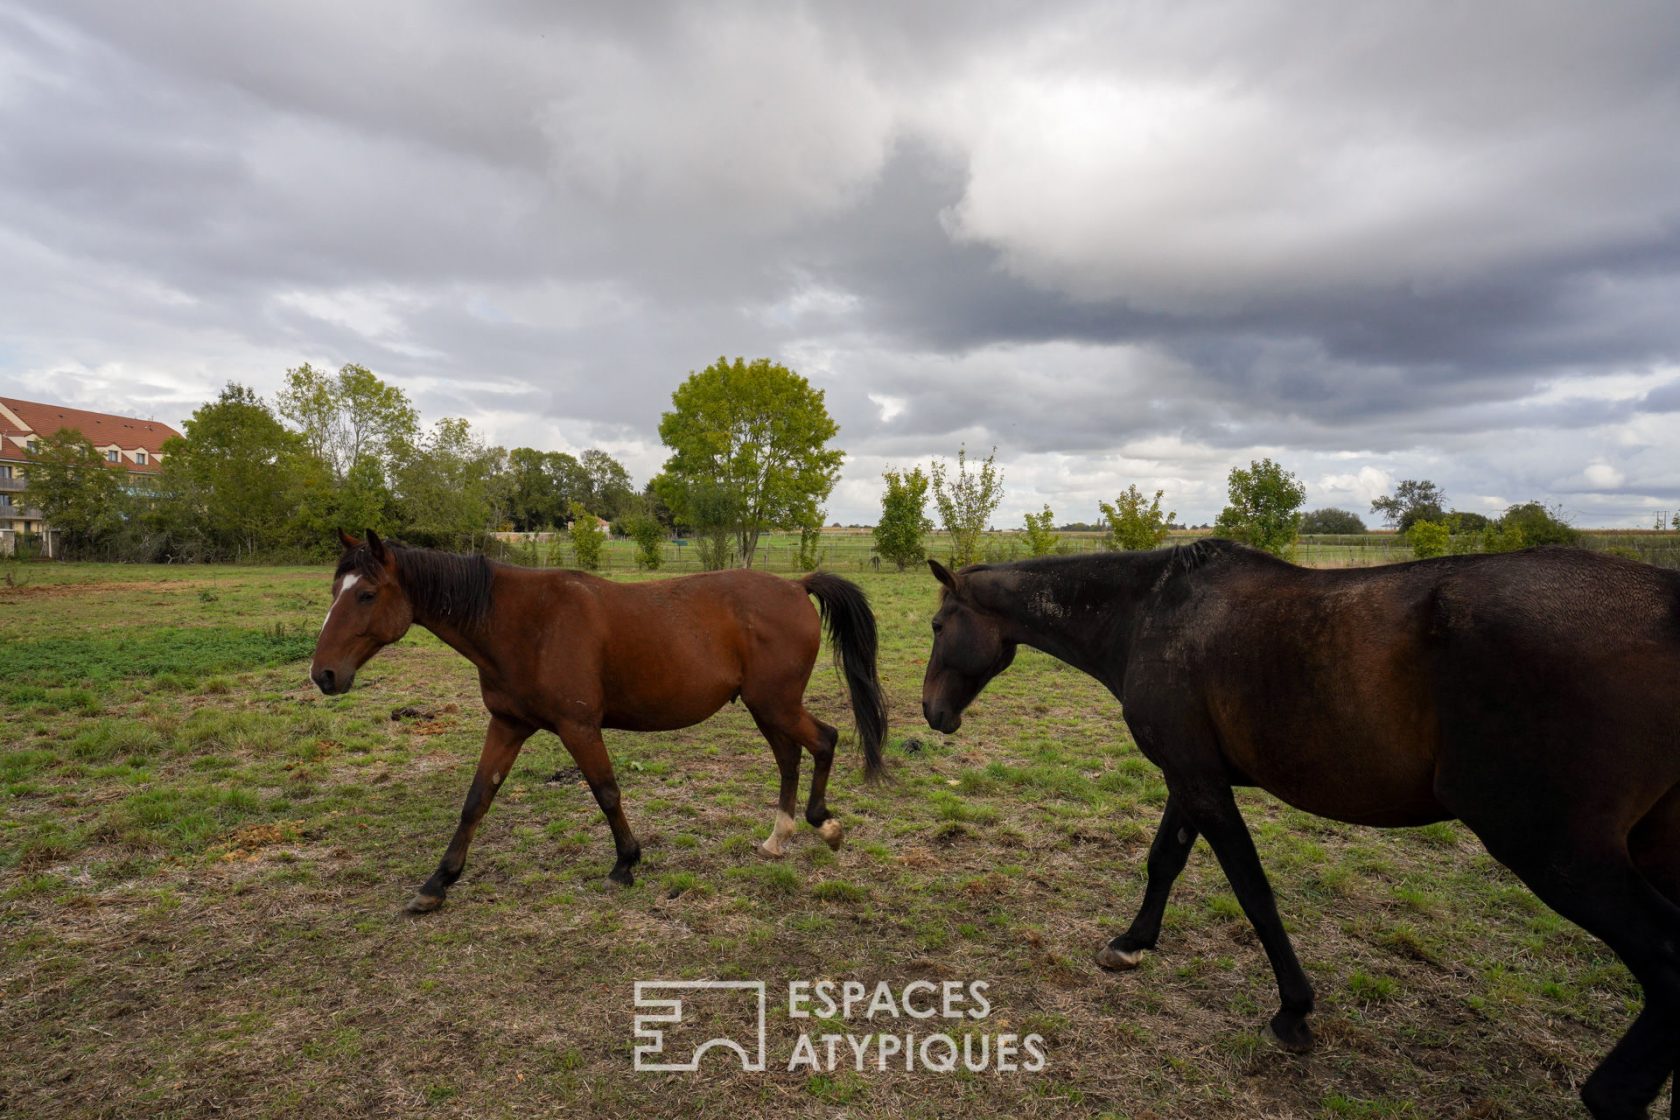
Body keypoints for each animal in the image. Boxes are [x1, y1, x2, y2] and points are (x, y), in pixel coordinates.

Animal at [315, 533, 893, 913]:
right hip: (764, 708)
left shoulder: (578, 727)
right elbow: (477, 799)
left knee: (824, 741)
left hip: (775, 705)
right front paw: (437, 883)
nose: (323, 674)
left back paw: (825, 825)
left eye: (366, 594)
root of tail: (796, 585)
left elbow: (606, 791)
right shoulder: (507, 725)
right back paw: (779, 837)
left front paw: (625, 864)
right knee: (791, 756)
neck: (524, 623)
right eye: (333, 590)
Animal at [927, 537, 1680, 1114]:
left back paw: (1612, 1096)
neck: (1147, 613)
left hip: (1556, 852)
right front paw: (1132, 943)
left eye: (937, 628)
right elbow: (1164, 860)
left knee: (1667, 957)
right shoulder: (1190, 776)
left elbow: (1253, 890)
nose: (932, 712)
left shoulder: (1199, 782)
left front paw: (1293, 1011)